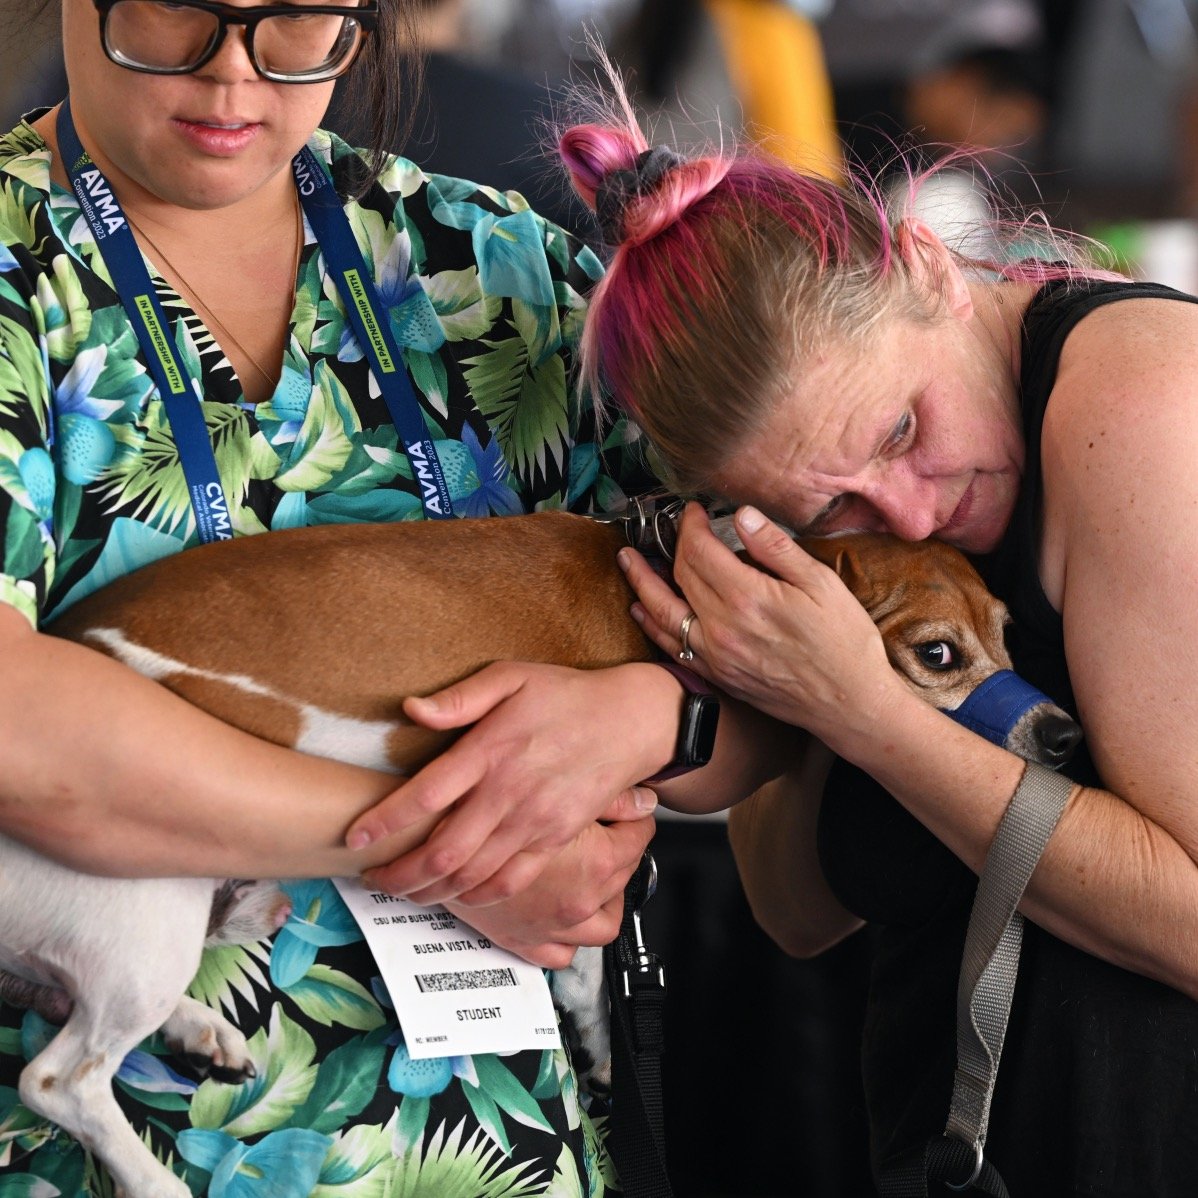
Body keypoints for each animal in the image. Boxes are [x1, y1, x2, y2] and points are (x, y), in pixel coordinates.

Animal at [0, 510, 1082, 1193]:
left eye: (1006, 635)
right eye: (936, 654)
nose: (1069, 737)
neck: (679, 582)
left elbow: (591, 975)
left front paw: (594, 1036)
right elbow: (595, 952)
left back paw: (196, 1028)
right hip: (149, 911)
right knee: (57, 1079)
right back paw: (149, 1175)